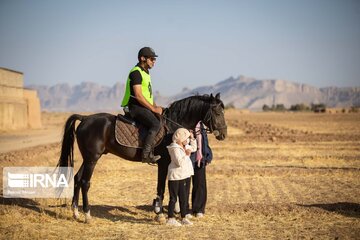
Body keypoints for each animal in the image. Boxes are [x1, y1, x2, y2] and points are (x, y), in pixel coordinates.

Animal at [58, 93, 228, 222]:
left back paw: (76, 212)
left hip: (87, 159)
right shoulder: (164, 163)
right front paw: (160, 214)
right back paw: (87, 215)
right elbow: (161, 188)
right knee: (85, 182)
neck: (173, 126)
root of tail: (85, 118)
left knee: (77, 178)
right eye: (218, 113)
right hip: (92, 159)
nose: (224, 134)